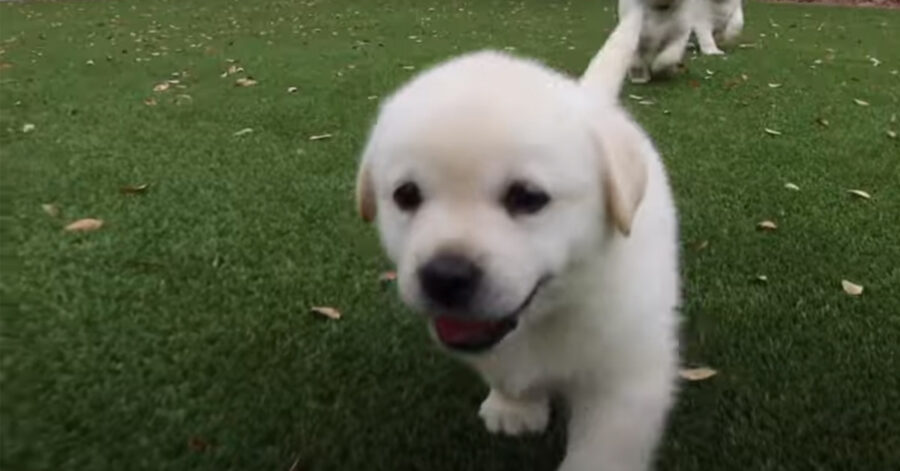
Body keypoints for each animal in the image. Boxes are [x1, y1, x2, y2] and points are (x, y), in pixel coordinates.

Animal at [356, 10, 680, 471]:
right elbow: (509, 373)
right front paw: (515, 407)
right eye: (406, 195)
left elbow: (601, 451)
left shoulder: (625, 379)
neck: (548, 314)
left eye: (527, 197)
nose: (445, 276)